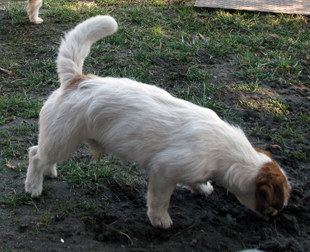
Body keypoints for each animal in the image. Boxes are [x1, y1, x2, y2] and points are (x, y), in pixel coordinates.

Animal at [25, 15, 292, 228]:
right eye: (274, 203)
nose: (276, 218)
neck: (227, 153)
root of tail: (77, 80)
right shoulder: (163, 173)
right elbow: (159, 201)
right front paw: (160, 220)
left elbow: (195, 182)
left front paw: (202, 188)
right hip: (63, 141)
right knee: (35, 154)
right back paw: (34, 187)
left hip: (60, 140)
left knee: (44, 156)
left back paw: (49, 172)